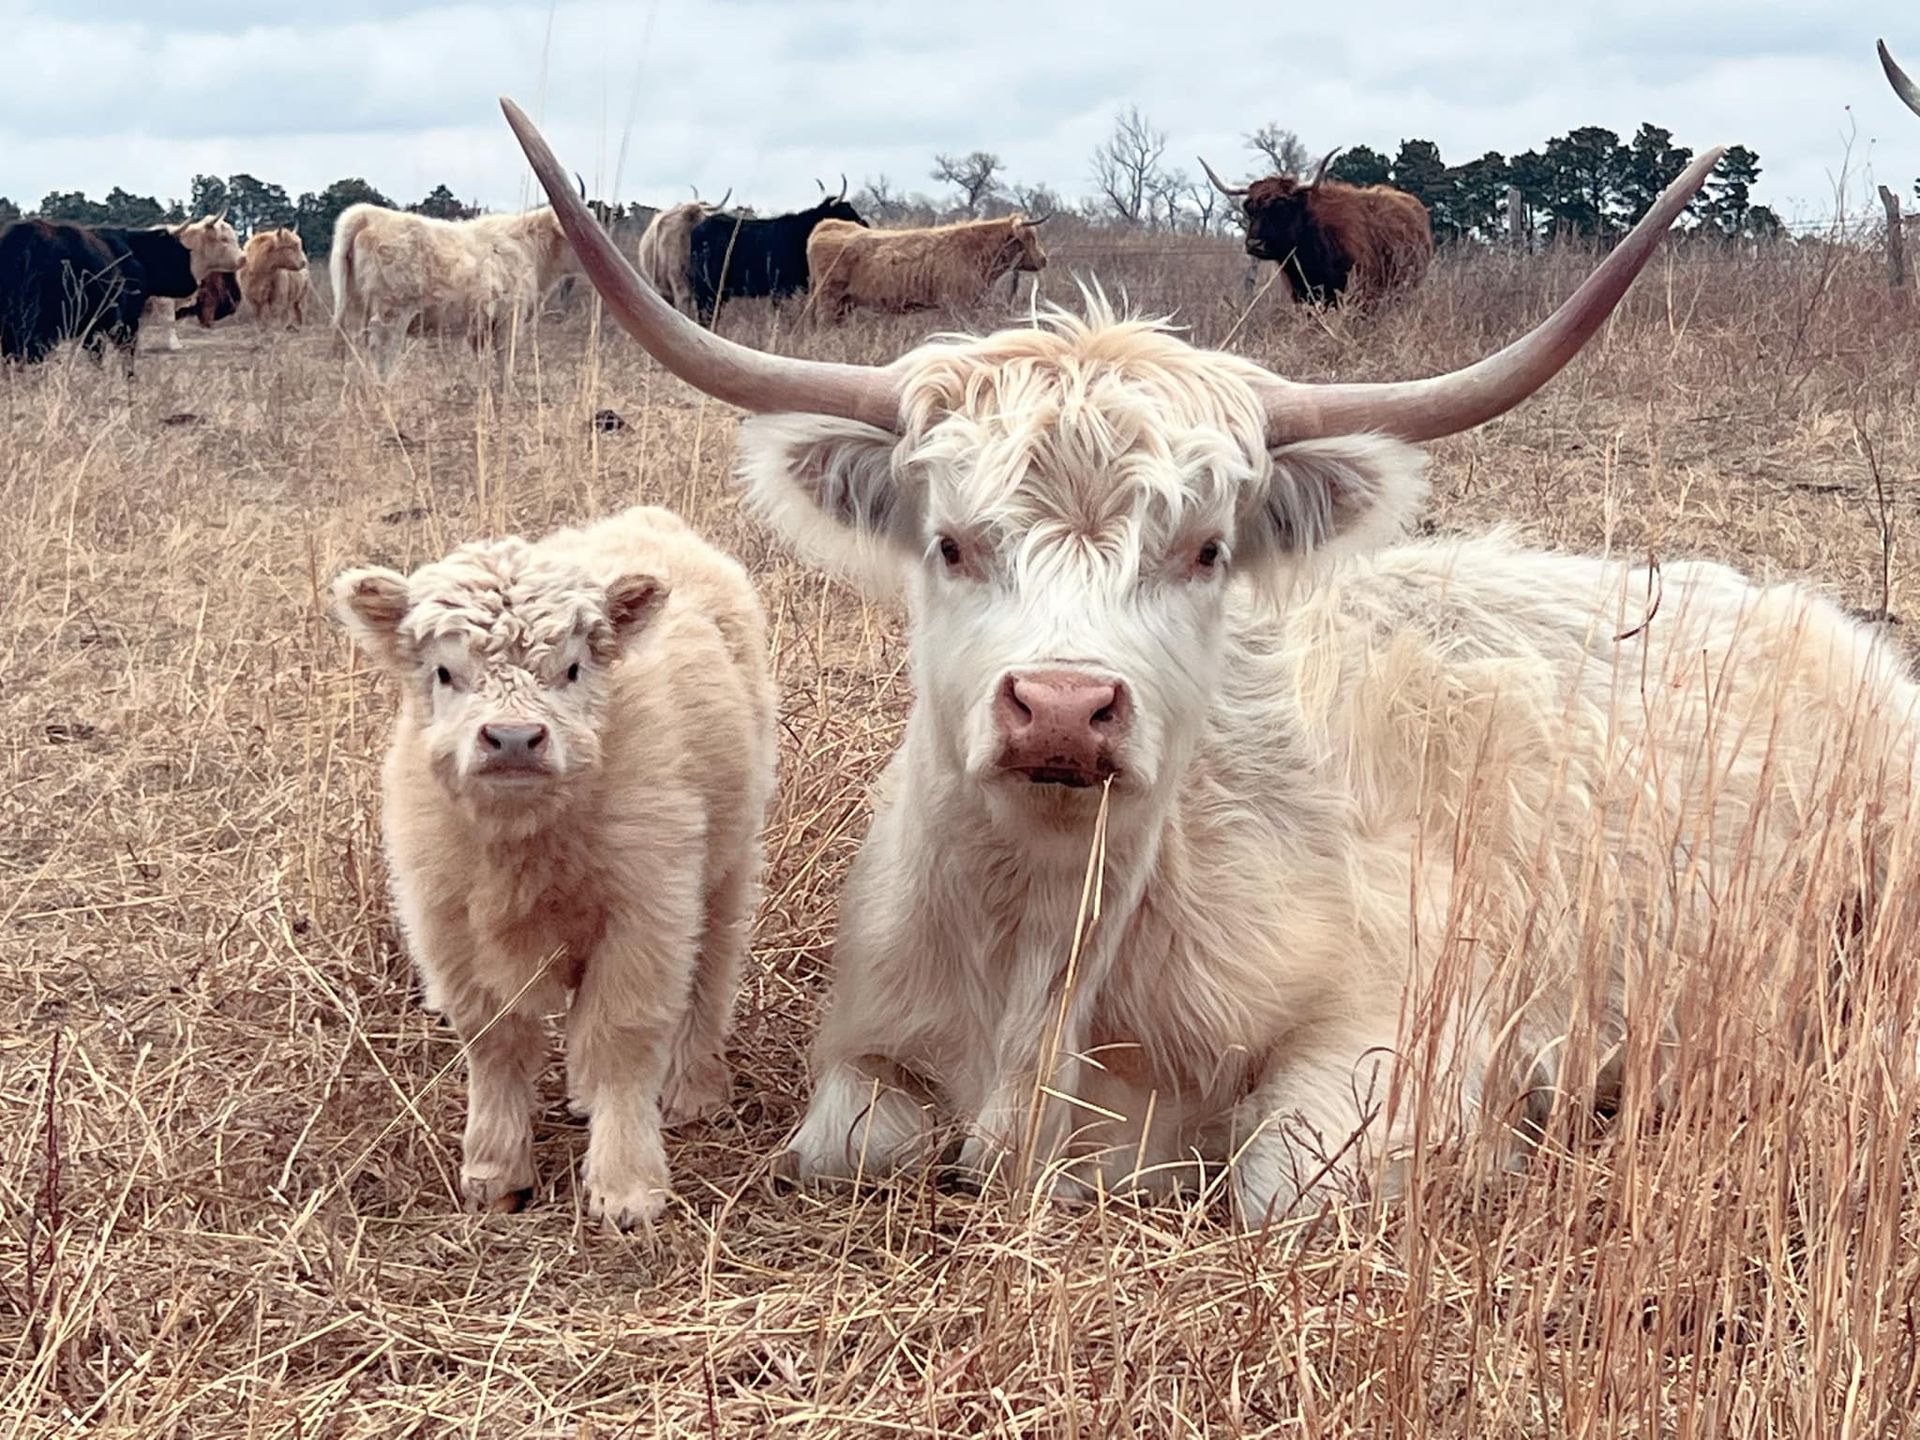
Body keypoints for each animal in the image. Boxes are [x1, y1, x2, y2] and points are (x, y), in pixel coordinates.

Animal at [329, 201, 583, 374]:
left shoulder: (481, 327)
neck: (529, 248)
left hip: (354, 308)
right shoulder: (509, 318)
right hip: (391, 314)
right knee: (380, 350)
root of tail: (367, 214)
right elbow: (505, 363)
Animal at [332, 504, 778, 1229]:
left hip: (728, 863)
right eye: (444, 673)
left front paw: (627, 1188)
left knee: (711, 972)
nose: (513, 739)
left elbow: (623, 1033)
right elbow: (494, 1040)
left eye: (571, 669)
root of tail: (646, 519)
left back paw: (694, 1091)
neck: (523, 846)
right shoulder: (447, 922)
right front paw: (494, 1172)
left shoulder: (646, 910)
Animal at [805, 213, 1051, 322]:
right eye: (1030, 237)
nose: (1043, 259)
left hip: (844, 303)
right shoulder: (958, 304)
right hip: (829, 297)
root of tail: (829, 224)